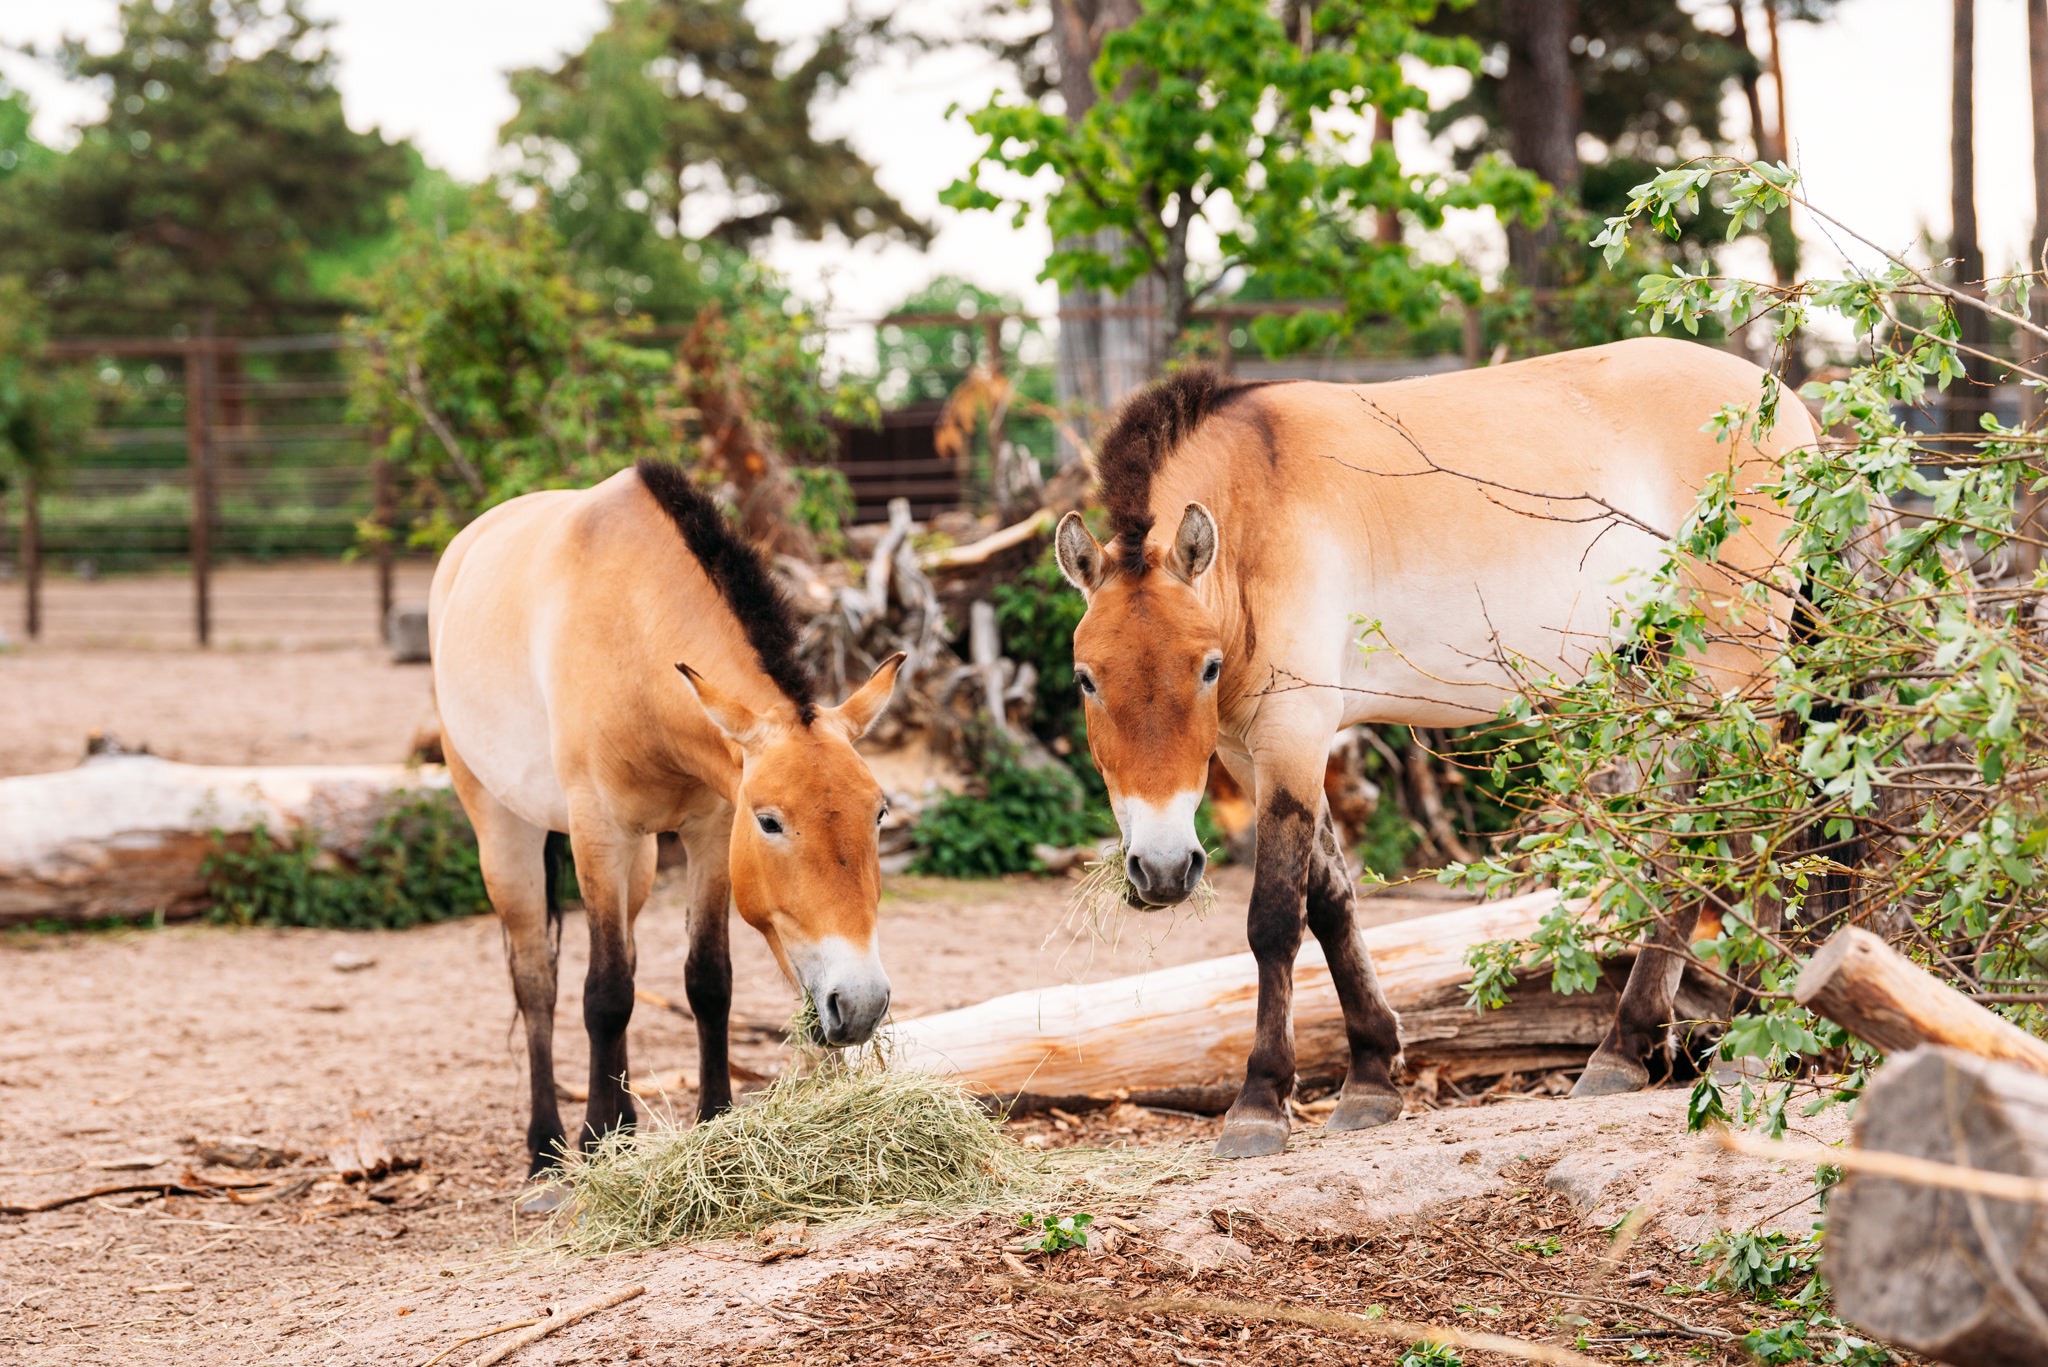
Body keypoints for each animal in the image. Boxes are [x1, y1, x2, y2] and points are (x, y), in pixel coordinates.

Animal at [432, 454, 905, 1188]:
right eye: (770, 822)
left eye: (878, 811)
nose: (859, 1004)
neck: (635, 633)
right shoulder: (600, 831)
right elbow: (604, 993)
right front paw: (594, 1140)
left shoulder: (708, 831)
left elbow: (706, 980)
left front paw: (711, 1120)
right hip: (505, 830)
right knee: (537, 980)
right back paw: (546, 1149)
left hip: (644, 862)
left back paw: (625, 1124)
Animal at [1056, 340, 1810, 1155]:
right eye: (1086, 678)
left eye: (1206, 667)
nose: (1162, 870)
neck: (1257, 515)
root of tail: (1783, 399)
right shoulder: (1255, 752)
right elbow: (1333, 902)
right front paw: (1371, 1076)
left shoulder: (1294, 732)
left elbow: (1276, 917)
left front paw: (1259, 1102)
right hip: (1660, 670)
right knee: (1686, 835)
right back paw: (1624, 1049)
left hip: (1733, 666)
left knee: (1761, 819)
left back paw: (1749, 1046)